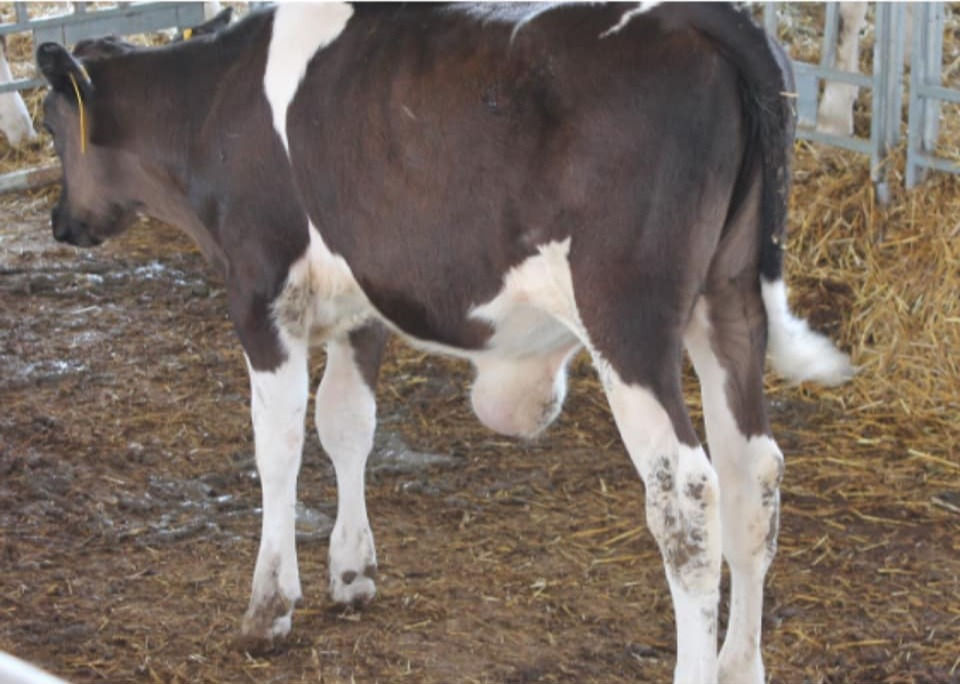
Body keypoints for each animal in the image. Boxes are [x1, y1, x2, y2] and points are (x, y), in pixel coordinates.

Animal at [36, 3, 852, 682]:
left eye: (48, 125)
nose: (59, 223)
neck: (213, 107)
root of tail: (699, 18)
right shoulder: (362, 302)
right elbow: (347, 424)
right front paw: (352, 572)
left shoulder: (261, 293)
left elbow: (279, 445)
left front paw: (270, 605)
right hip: (730, 302)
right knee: (753, 475)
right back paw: (740, 665)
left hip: (629, 322)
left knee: (686, 494)